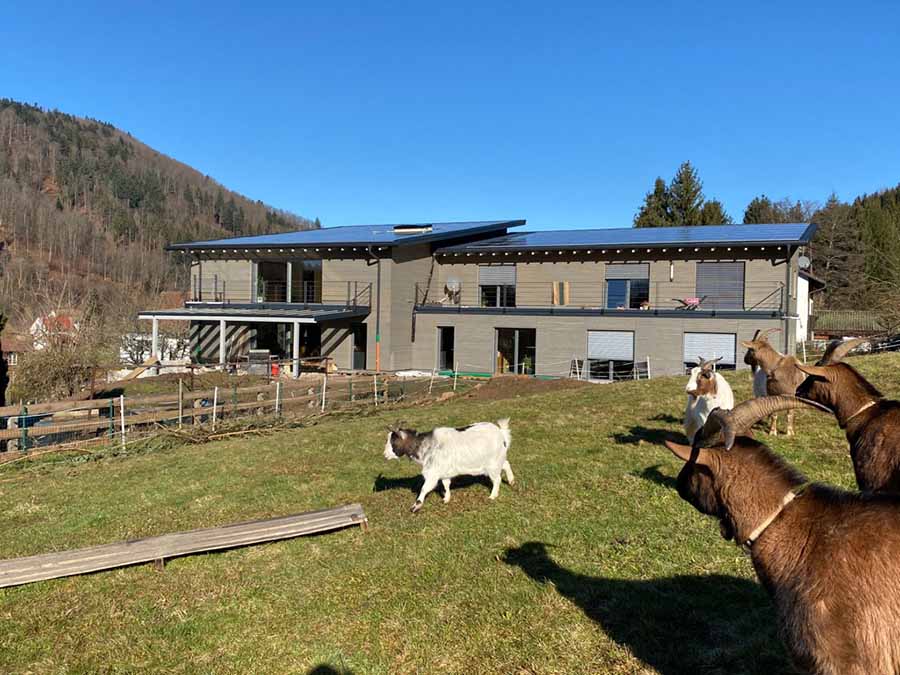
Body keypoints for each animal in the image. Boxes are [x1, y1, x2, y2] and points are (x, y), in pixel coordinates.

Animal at [383, 419, 514, 512]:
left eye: (393, 441)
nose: (385, 455)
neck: (426, 446)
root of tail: (500, 433)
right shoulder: (444, 473)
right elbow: (446, 484)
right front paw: (446, 499)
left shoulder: (432, 473)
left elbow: (424, 488)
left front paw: (415, 506)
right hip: (498, 459)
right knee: (506, 464)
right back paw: (511, 481)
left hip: (493, 464)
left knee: (497, 479)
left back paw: (493, 496)